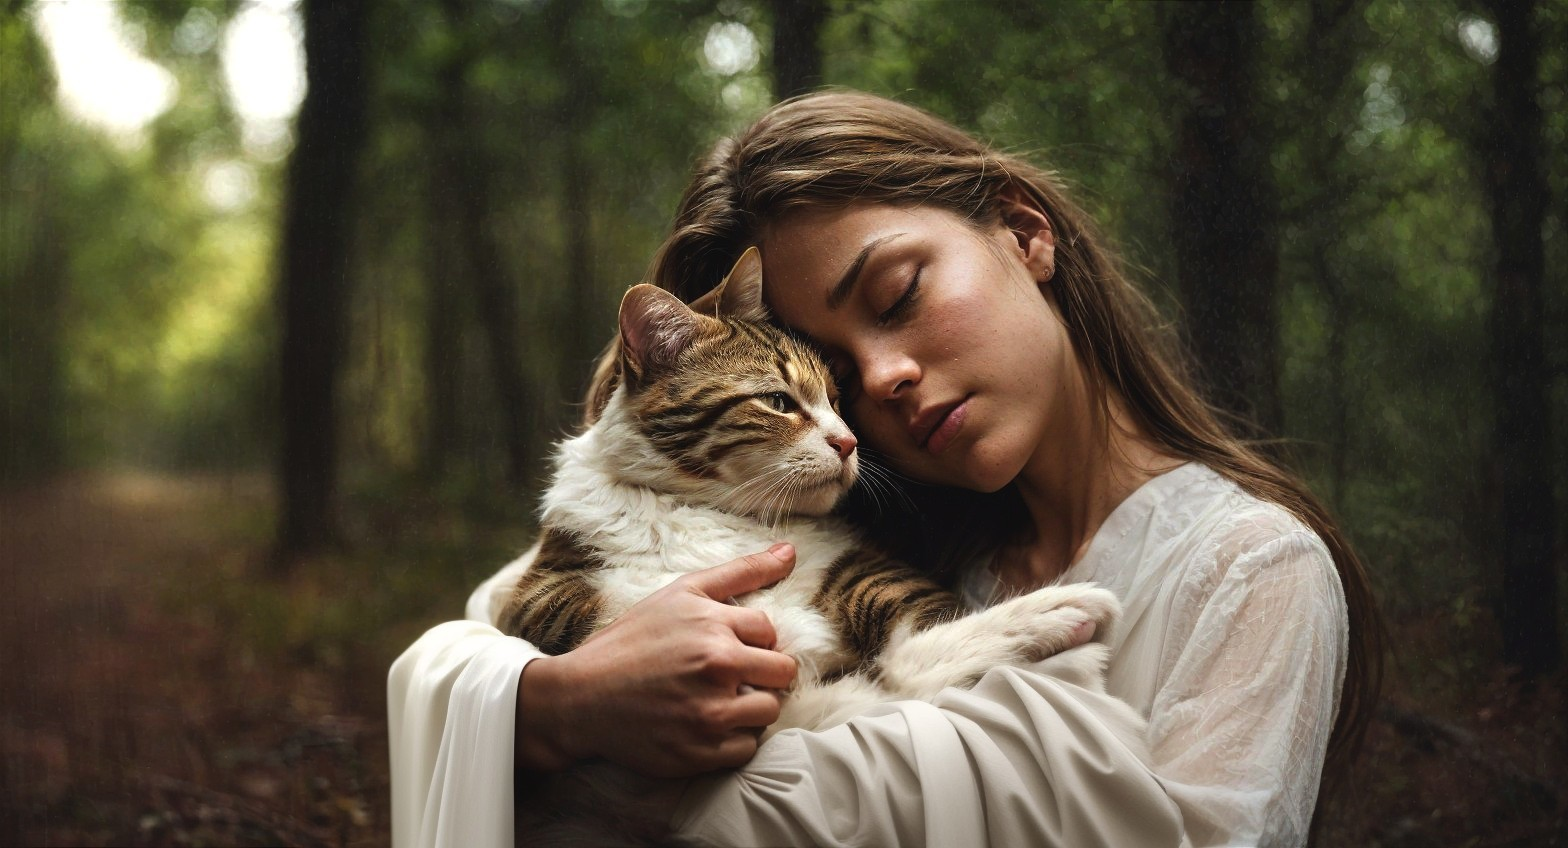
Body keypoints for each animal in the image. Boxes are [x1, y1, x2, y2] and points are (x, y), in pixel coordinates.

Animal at [498, 247, 1116, 840]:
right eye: (778, 401)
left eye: (837, 399)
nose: (848, 442)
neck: (724, 515)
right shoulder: (538, 593)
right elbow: (608, 619)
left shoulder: (854, 565)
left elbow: (907, 628)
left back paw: (1061, 615)